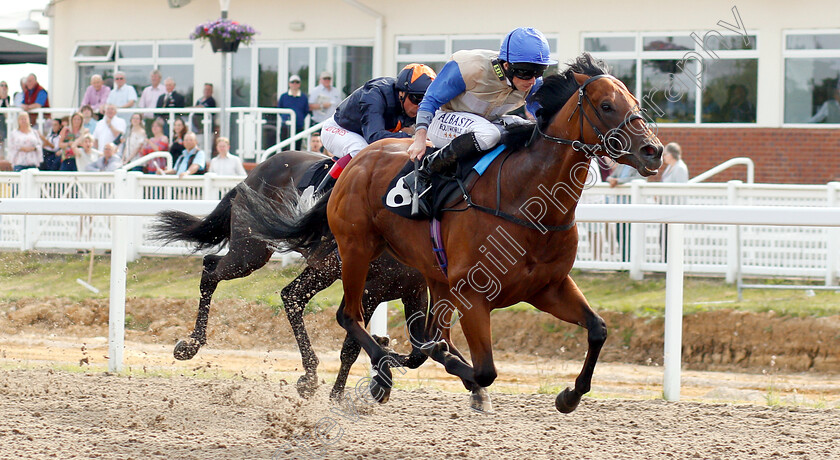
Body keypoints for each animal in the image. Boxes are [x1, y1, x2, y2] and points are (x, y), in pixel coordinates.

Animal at [149, 151, 434, 398]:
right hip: (250, 252)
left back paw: (310, 373)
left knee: (291, 295)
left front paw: (385, 350)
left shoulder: (414, 292)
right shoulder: (370, 289)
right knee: (211, 270)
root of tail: (251, 176)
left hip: (318, 268)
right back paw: (192, 344)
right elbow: (352, 345)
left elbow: (420, 352)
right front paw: (342, 393)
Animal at [236, 54, 664, 414]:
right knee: (346, 315)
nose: (653, 151)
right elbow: (480, 368)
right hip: (353, 251)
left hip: (428, 274)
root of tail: (357, 161)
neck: (526, 199)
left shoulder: (549, 287)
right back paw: (375, 365)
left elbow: (598, 329)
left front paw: (570, 394)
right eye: (606, 106)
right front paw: (415, 371)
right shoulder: (473, 295)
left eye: (634, 101)